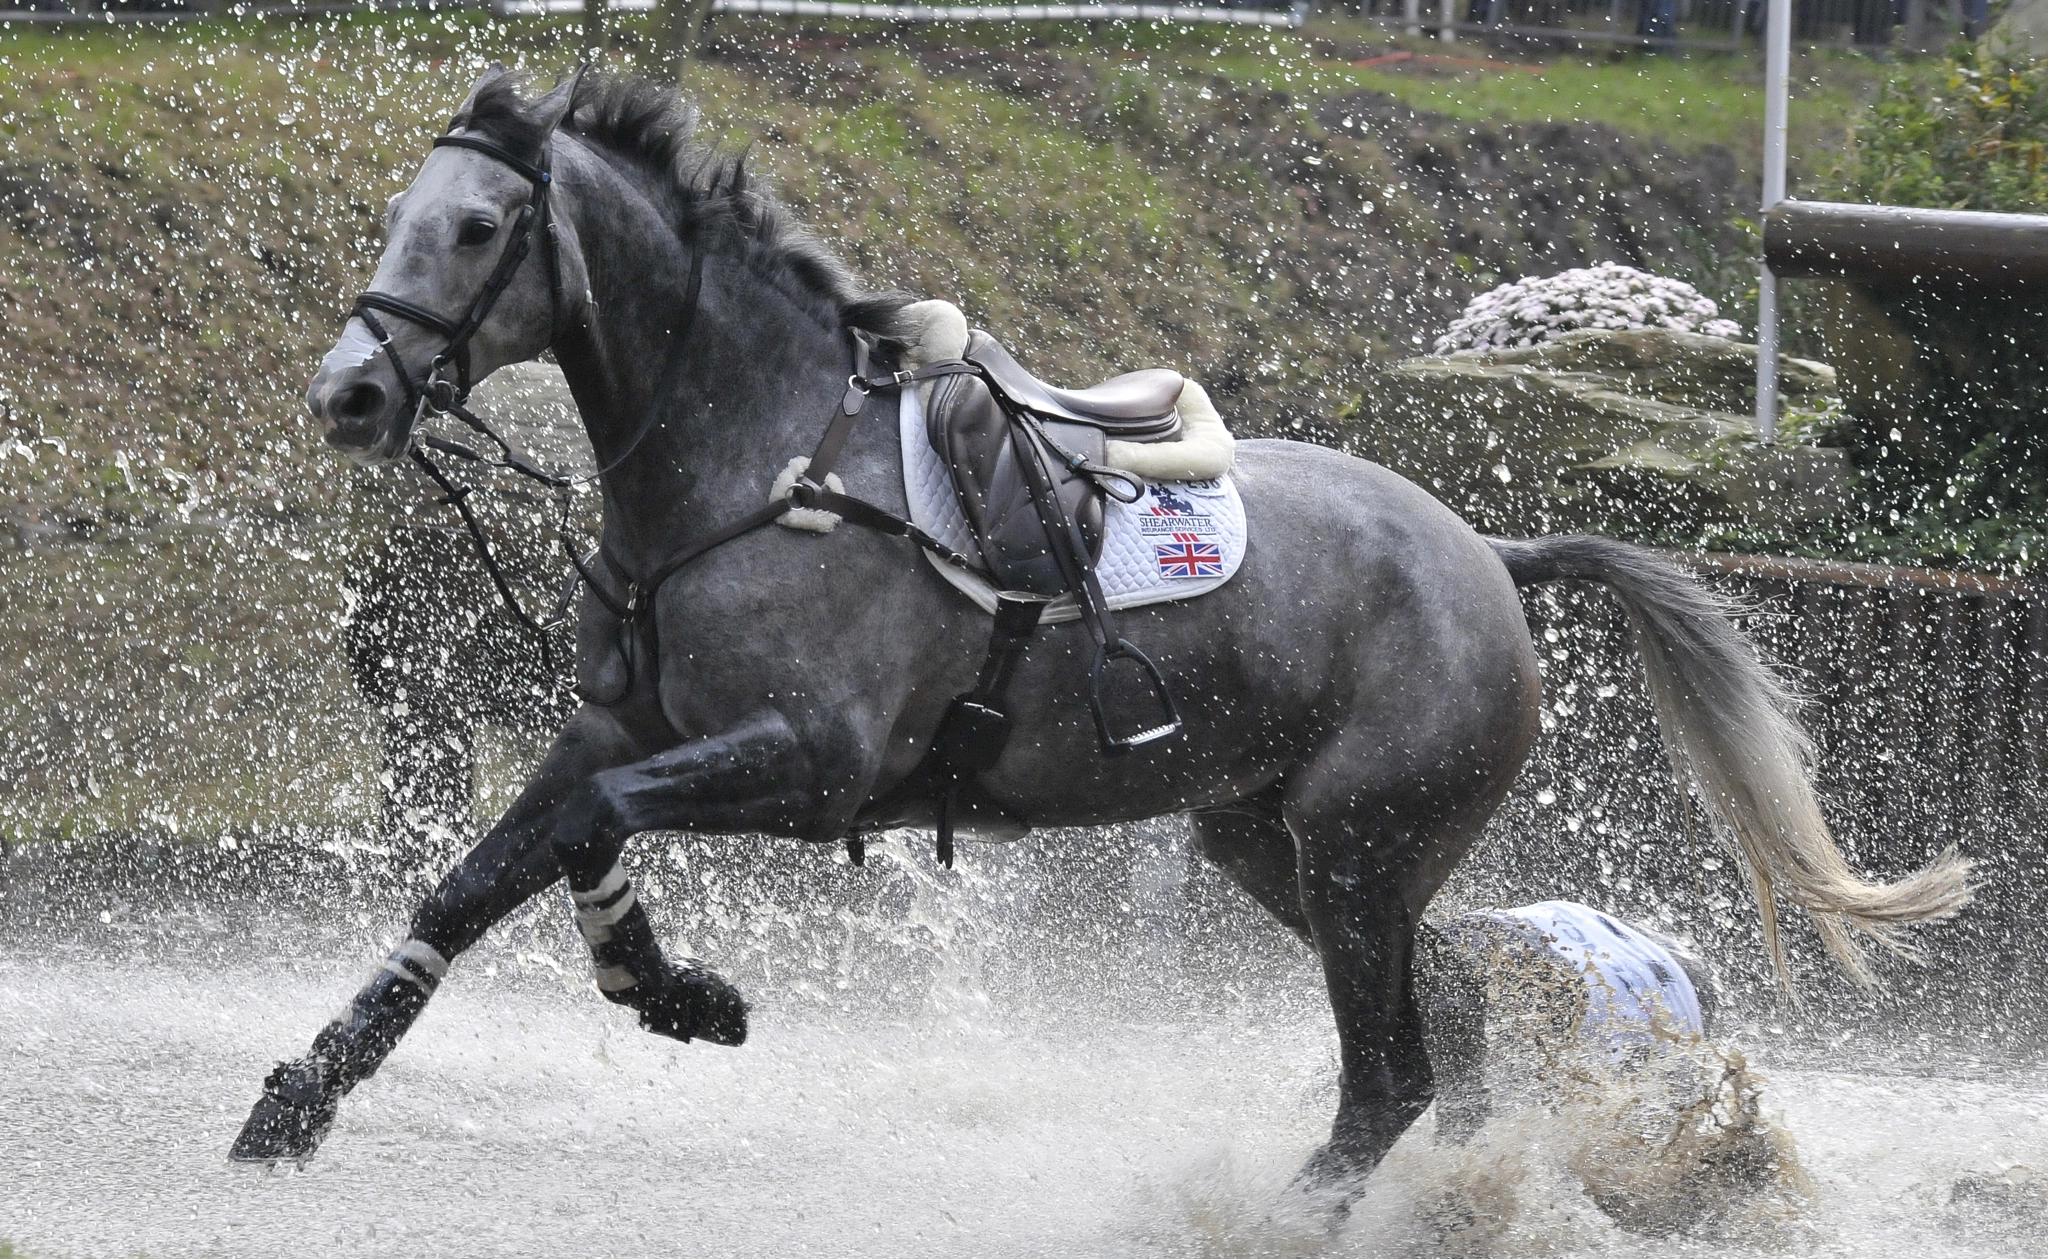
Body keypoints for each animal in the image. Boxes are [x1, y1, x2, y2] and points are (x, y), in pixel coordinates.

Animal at [238, 67, 1970, 1195]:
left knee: (1393, 1073)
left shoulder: (808, 767)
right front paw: (301, 1096)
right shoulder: (628, 724)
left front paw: (676, 988)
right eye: (405, 215)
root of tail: (1487, 551)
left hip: (1357, 848)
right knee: (1454, 1033)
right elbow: (487, 872)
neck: (757, 458)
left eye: (477, 231)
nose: (350, 393)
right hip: (1279, 844)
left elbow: (588, 827)